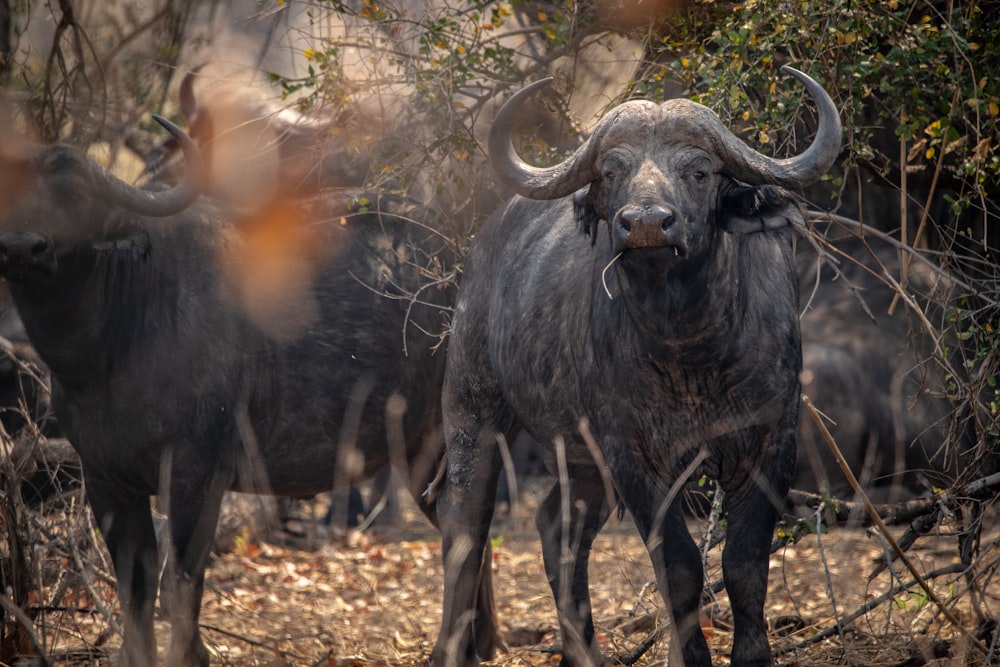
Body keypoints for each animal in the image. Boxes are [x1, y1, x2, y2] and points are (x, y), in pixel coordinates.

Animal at [0, 120, 500, 667]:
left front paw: (190, 654)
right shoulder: (104, 479)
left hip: (458, 428)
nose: (23, 247)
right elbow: (135, 583)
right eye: (13, 192)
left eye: (75, 197)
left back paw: (450, 649)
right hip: (417, 448)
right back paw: (480, 642)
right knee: (464, 524)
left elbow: (183, 576)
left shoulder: (196, 472)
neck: (108, 351)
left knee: (464, 523)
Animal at [432, 66, 844, 667]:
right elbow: (679, 567)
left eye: (699, 171)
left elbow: (744, 565)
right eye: (611, 170)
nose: (647, 224)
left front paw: (751, 655)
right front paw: (691, 657)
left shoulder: (773, 443)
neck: (688, 349)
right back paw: (449, 648)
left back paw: (584, 653)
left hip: (582, 460)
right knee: (463, 520)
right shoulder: (632, 455)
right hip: (473, 406)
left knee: (558, 527)